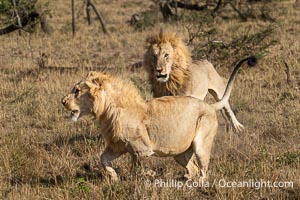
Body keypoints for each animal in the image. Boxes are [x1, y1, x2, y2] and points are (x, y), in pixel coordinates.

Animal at [62, 55, 256, 180]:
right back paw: (187, 181)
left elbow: (136, 169)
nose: (62, 101)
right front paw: (114, 178)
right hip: (179, 154)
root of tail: (208, 105)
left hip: (201, 144)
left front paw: (150, 174)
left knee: (203, 171)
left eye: (76, 91)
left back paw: (198, 185)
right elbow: (103, 160)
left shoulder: (142, 149)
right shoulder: (117, 146)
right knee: (192, 168)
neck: (106, 112)